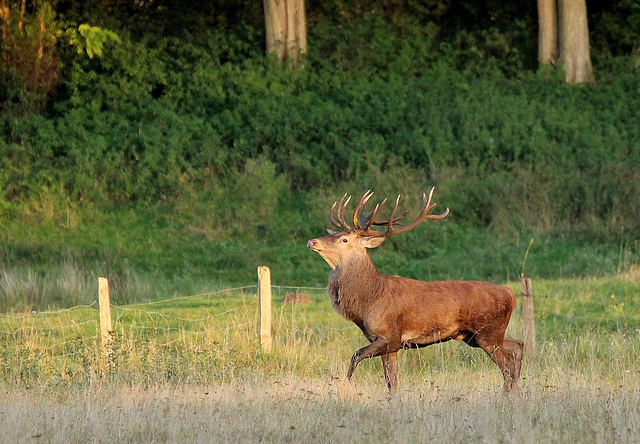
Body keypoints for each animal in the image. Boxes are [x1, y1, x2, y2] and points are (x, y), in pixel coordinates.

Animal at [308, 189, 524, 394]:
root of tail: (510, 294)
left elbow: (356, 356)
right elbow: (392, 383)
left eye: (344, 239)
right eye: (333, 234)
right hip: (475, 336)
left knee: (507, 365)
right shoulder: (388, 345)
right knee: (518, 346)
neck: (369, 301)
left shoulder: (390, 336)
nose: (312, 241)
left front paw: (348, 381)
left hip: (487, 332)